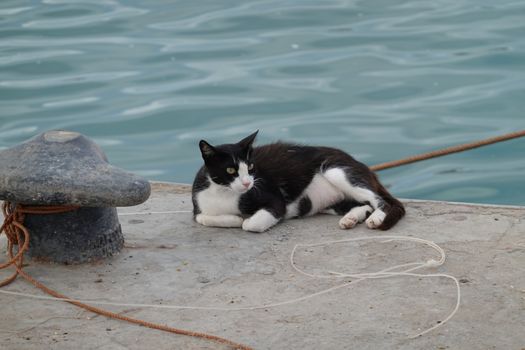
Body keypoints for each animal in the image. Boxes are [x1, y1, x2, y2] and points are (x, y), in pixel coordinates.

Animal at [192, 131, 406, 232]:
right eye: (230, 170)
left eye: (251, 167)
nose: (247, 183)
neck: (223, 193)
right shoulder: (198, 206)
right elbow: (202, 217)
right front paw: (235, 218)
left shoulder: (275, 201)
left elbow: (250, 225)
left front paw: (242, 220)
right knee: (362, 204)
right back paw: (350, 219)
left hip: (336, 170)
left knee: (381, 201)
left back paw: (375, 218)